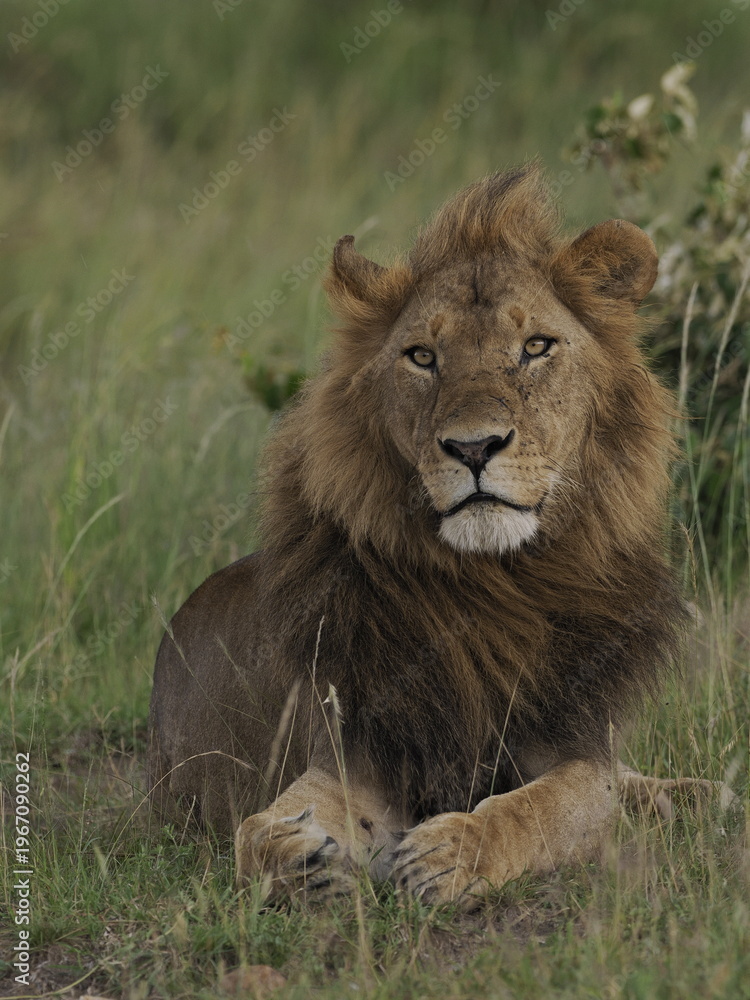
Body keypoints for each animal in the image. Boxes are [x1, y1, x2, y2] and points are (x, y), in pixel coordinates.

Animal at [148, 165, 732, 906]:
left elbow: (542, 805)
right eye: (422, 356)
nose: (474, 447)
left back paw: (703, 795)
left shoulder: (571, 750)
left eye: (536, 347)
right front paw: (300, 859)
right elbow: (257, 829)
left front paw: (452, 850)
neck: (492, 585)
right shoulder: (355, 749)